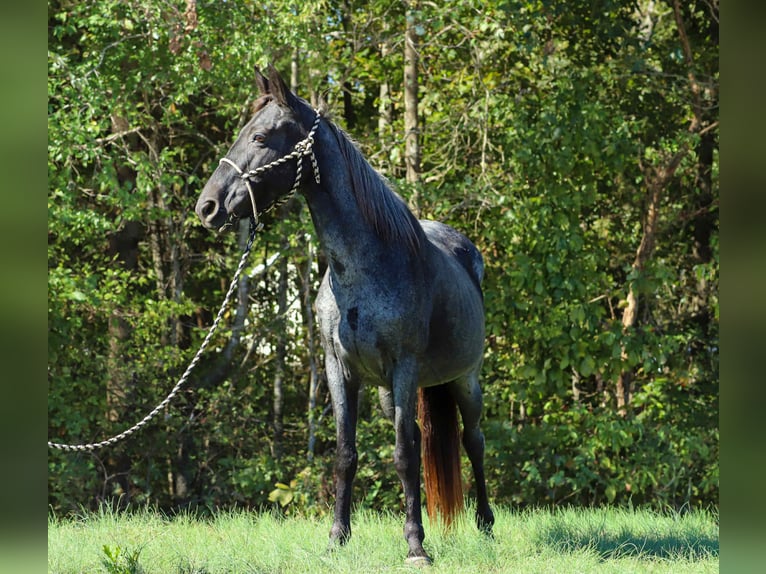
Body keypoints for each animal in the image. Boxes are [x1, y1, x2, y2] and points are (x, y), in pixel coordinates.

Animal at [195, 64, 494, 564]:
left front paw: (416, 546)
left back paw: (487, 526)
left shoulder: (404, 367)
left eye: (260, 137)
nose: (207, 206)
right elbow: (346, 454)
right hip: (392, 393)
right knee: (420, 437)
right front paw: (337, 537)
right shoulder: (339, 369)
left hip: (463, 381)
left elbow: (403, 455)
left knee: (474, 441)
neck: (362, 268)